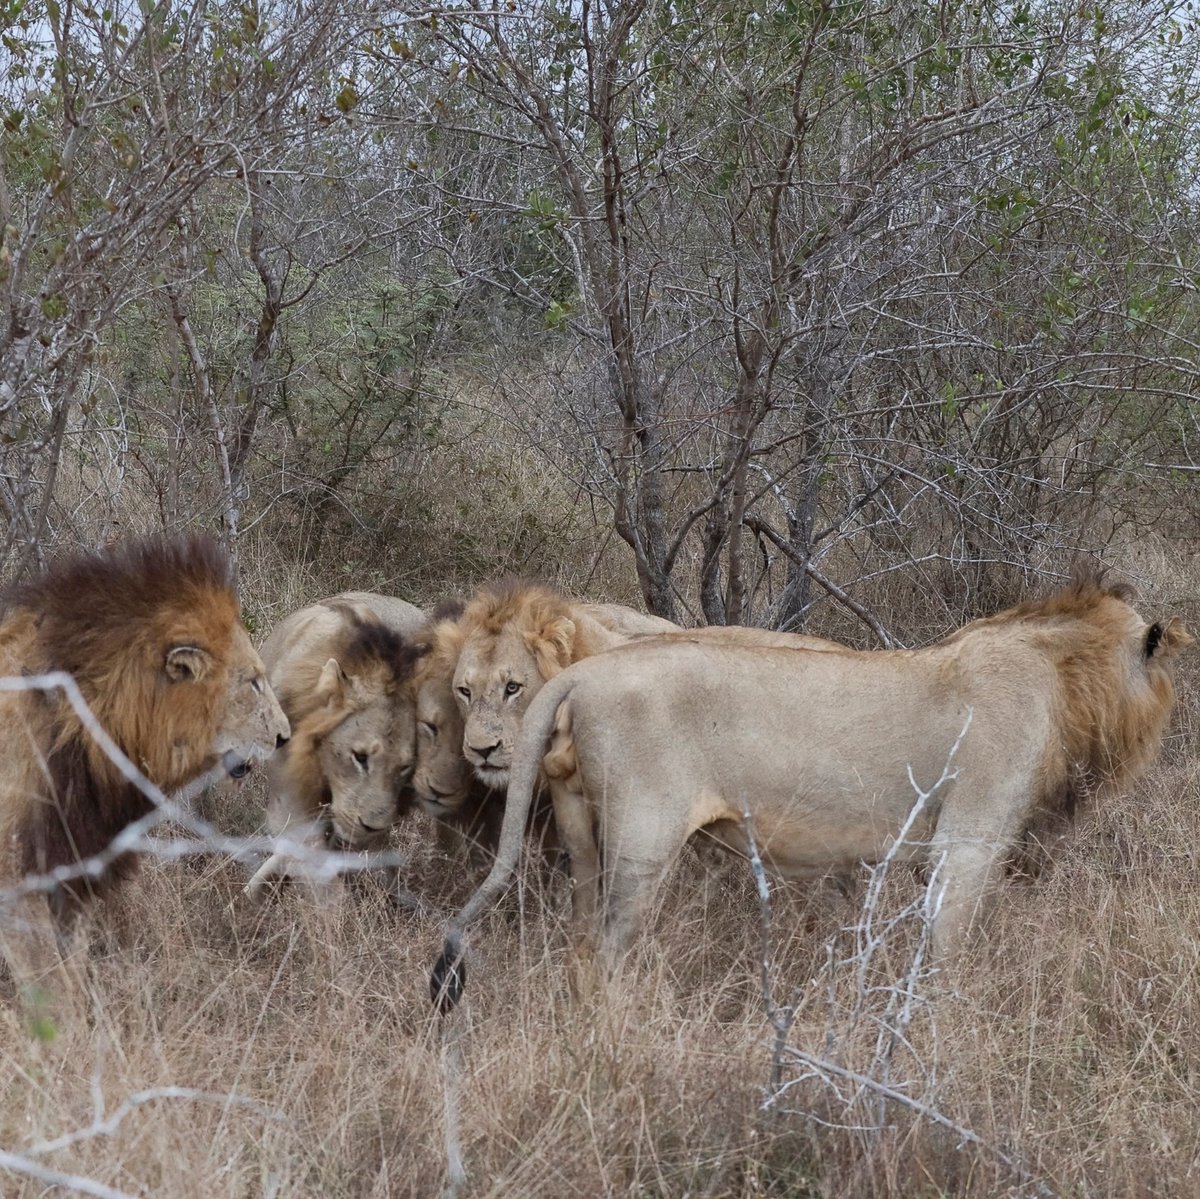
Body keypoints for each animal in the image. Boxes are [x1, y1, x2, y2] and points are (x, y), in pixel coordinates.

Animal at [0, 533, 289, 1006]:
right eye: (253, 682)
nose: (285, 736)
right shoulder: (16, 877)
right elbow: (51, 987)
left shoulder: (72, 865)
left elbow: (72, 970)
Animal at [432, 575, 1191, 1004]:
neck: (1062, 679)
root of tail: (583, 672)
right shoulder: (968, 841)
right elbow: (946, 951)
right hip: (645, 839)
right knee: (612, 951)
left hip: (581, 835)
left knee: (582, 942)